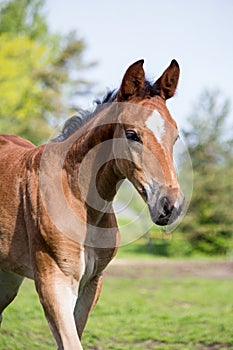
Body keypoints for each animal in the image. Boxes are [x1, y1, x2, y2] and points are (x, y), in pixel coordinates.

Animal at [0, 58, 184, 348]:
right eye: (132, 134)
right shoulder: (54, 282)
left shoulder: (91, 283)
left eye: (175, 136)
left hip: (8, 275)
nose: (170, 206)